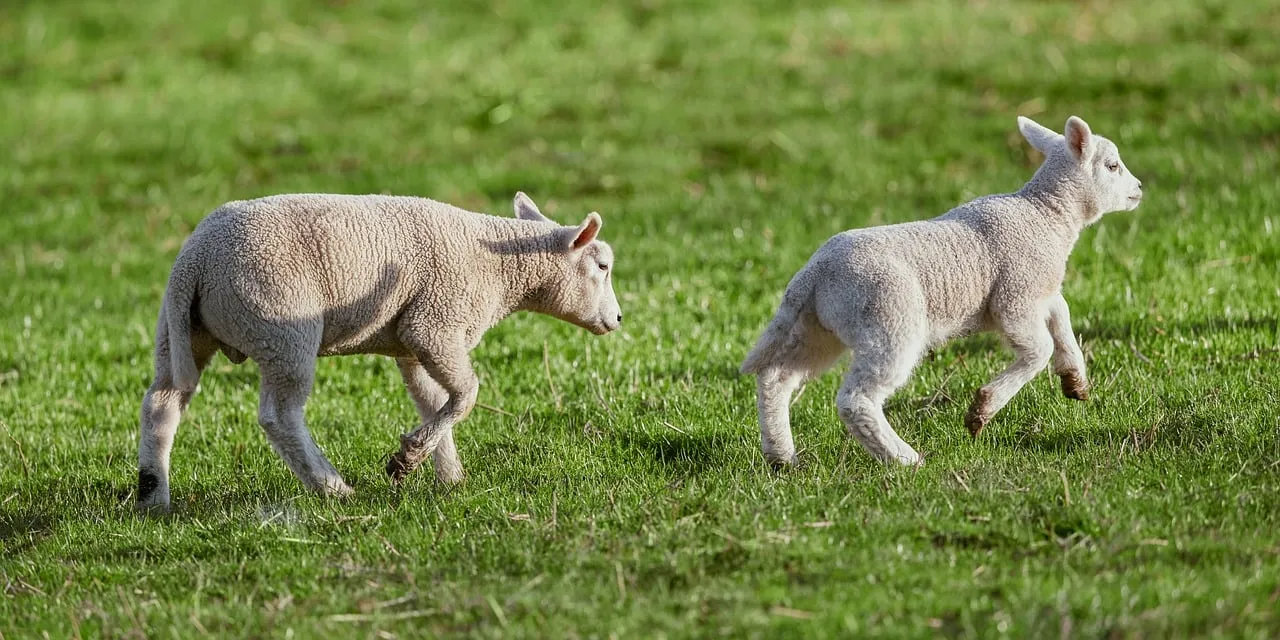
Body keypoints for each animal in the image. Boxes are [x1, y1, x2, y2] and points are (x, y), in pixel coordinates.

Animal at [136, 191, 622, 510]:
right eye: (602, 266)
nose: (618, 320)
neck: (500, 268)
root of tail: (196, 260)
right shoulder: (435, 324)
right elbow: (466, 395)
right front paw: (407, 460)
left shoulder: (413, 344)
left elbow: (433, 400)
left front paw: (448, 476)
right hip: (282, 327)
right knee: (280, 416)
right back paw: (332, 487)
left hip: (182, 332)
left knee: (161, 404)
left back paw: (152, 493)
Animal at [741, 115, 1144, 467]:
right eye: (1112, 166)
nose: (1140, 189)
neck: (1047, 214)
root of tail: (814, 272)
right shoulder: (1015, 298)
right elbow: (1038, 350)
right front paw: (982, 409)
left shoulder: (1038, 290)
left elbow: (1062, 313)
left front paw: (1075, 380)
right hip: (889, 318)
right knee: (856, 399)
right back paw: (905, 459)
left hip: (819, 327)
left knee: (776, 378)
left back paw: (781, 457)